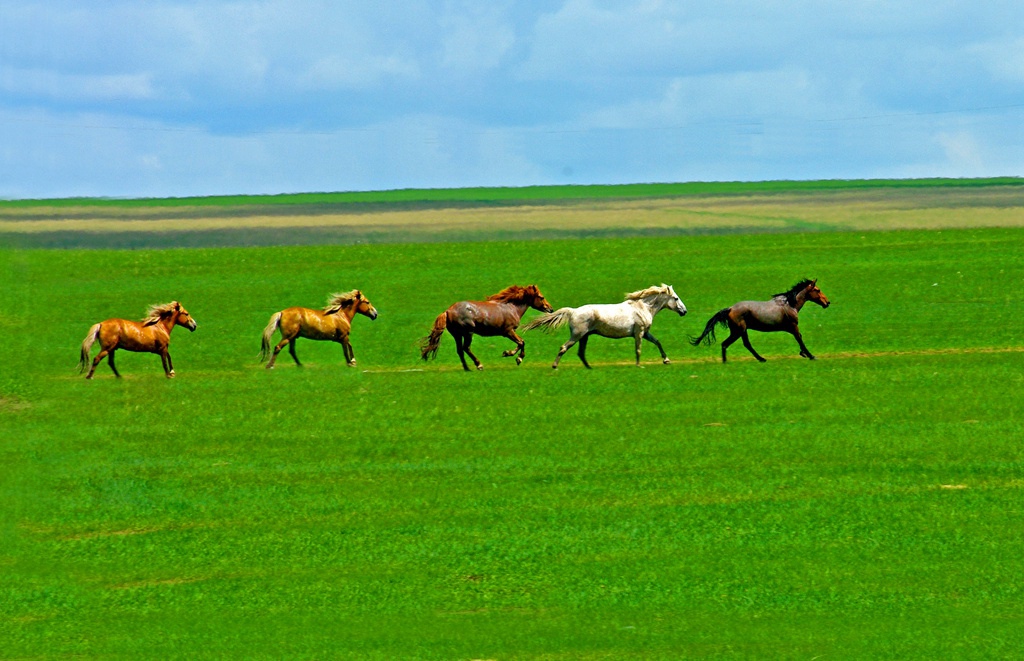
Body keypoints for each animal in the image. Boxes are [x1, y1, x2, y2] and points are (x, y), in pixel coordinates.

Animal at [419, 282, 557, 370]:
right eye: (541, 297)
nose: (550, 309)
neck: (511, 307)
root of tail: (447, 311)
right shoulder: (508, 331)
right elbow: (521, 342)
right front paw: (517, 358)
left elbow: (520, 343)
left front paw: (508, 353)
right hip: (468, 333)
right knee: (466, 348)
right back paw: (479, 365)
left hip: (457, 335)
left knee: (460, 350)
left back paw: (467, 368)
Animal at [520, 284, 688, 370]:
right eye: (676, 298)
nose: (684, 311)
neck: (643, 307)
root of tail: (573, 311)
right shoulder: (639, 332)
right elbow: (638, 349)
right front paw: (638, 365)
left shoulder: (645, 333)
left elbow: (657, 342)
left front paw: (666, 360)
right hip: (577, 335)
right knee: (564, 347)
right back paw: (555, 366)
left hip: (584, 337)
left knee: (581, 353)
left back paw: (589, 368)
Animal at [688, 278, 831, 364]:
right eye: (817, 290)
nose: (827, 302)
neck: (790, 304)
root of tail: (730, 309)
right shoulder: (793, 326)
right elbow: (800, 339)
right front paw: (811, 355)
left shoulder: (792, 328)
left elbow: (800, 339)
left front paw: (804, 354)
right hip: (738, 330)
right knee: (728, 344)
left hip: (741, 331)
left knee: (742, 344)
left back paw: (758, 359)